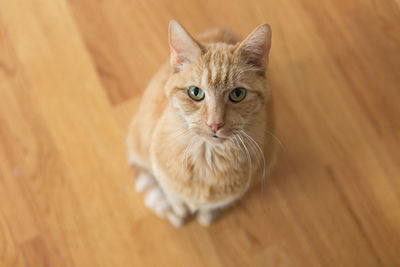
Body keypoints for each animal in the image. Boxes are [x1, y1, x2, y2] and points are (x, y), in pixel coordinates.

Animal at [126, 19, 276, 227]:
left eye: (238, 94)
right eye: (195, 92)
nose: (215, 124)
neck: (205, 156)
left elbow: (210, 207)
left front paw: (207, 217)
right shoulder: (165, 179)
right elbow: (175, 199)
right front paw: (180, 212)